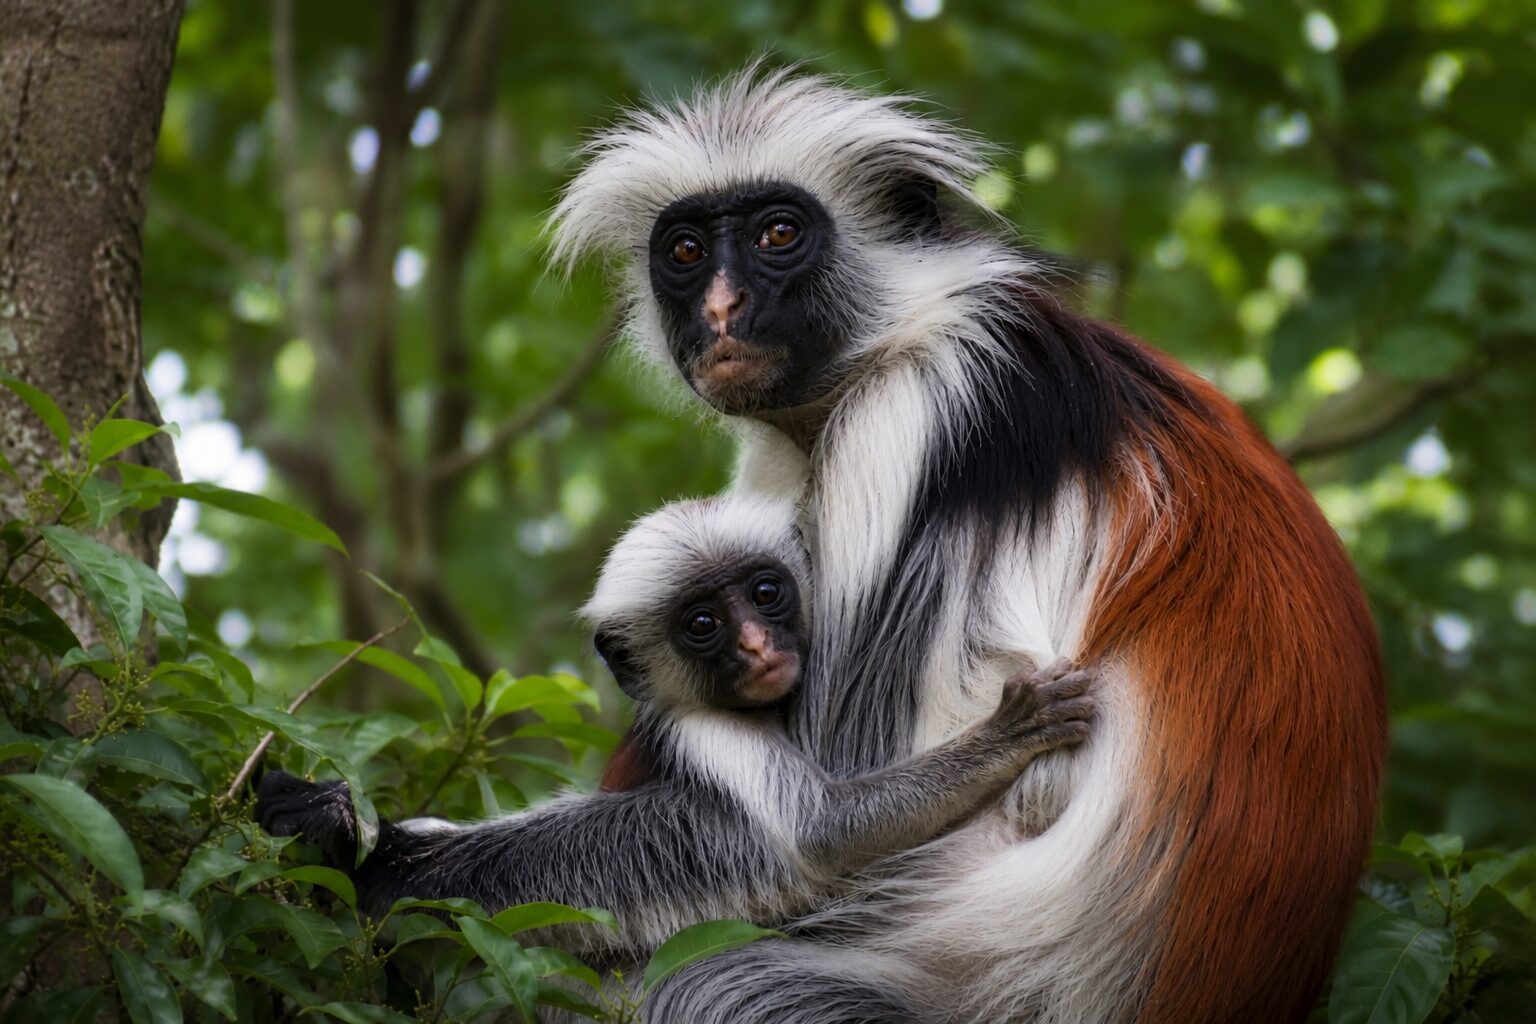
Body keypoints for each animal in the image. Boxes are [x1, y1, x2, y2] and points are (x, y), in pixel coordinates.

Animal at [257, 495, 1096, 960]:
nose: (756, 647)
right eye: (702, 625)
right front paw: (1006, 735)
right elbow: (825, 831)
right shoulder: (700, 725)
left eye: (765, 594)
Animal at [539, 65, 1387, 1024]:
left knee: (701, 981)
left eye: (778, 233)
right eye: (683, 252)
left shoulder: (911, 412)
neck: (906, 332)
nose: (722, 308)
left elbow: (829, 818)